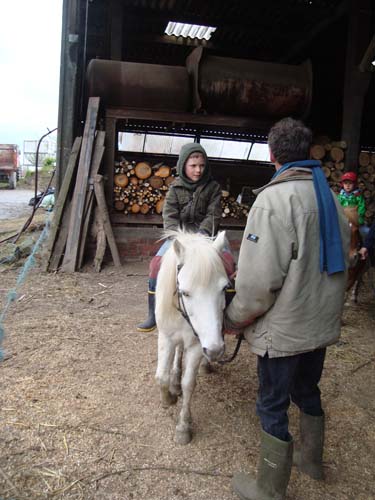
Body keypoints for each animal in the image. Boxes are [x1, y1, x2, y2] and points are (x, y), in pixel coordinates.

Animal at [155, 230, 231, 446]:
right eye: (185, 293)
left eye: (224, 288)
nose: (215, 350)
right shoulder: (166, 337)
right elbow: (161, 377)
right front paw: (168, 398)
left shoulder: (198, 345)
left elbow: (188, 384)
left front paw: (183, 427)